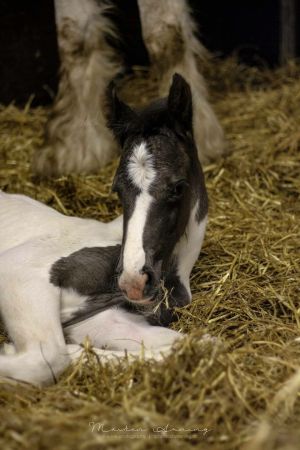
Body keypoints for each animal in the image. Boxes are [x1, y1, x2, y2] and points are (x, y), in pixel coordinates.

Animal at [0, 74, 207, 386]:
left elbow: (197, 343)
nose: (133, 281)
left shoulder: (105, 319)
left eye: (178, 187)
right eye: (117, 188)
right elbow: (46, 358)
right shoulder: (18, 271)